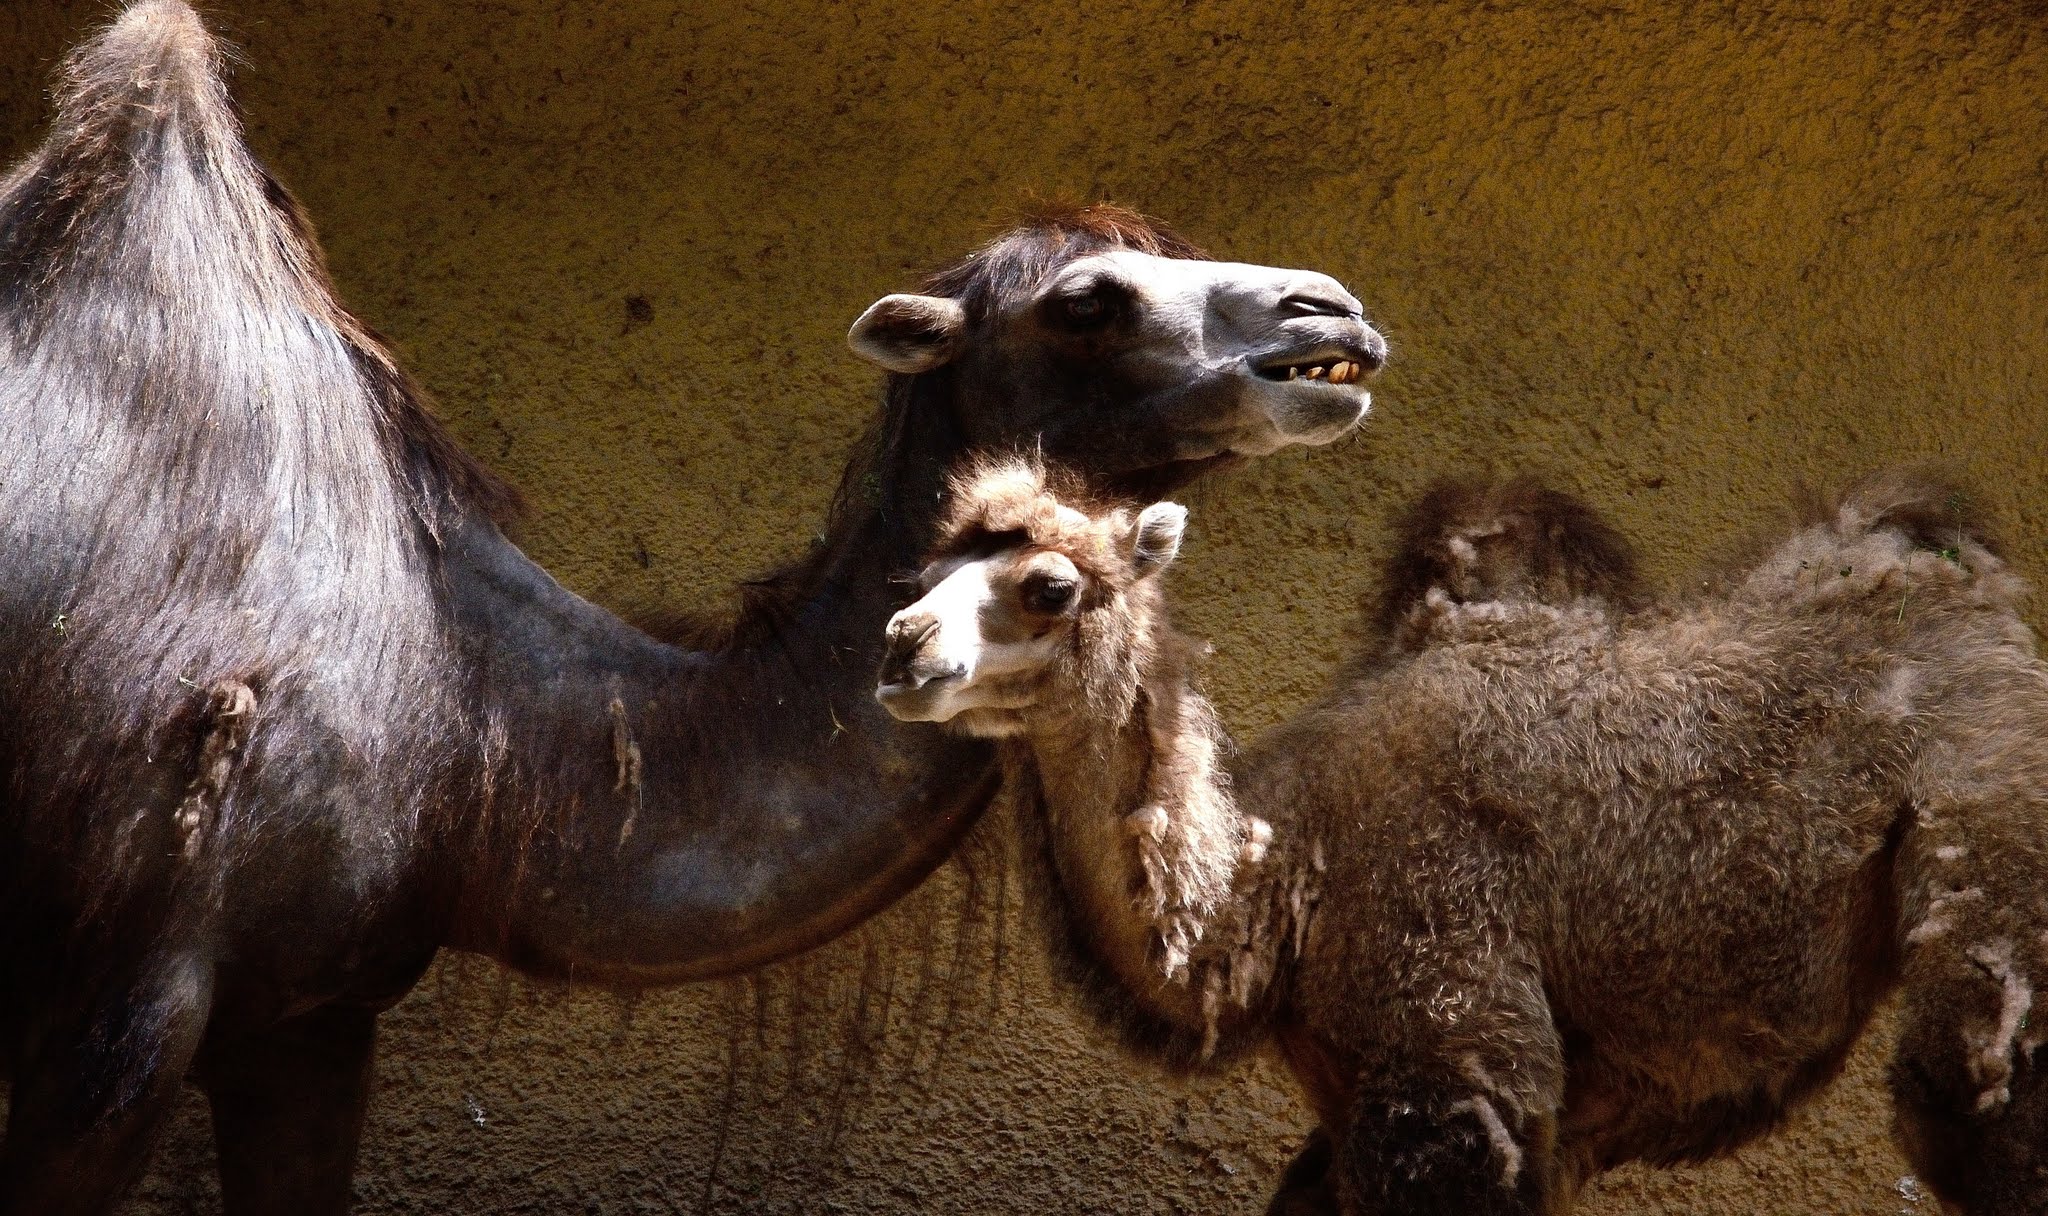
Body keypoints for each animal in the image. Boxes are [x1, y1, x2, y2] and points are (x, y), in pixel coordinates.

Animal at [878, 459, 2048, 1215]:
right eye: (926, 571)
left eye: (1049, 585)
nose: (901, 645)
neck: (1283, 883)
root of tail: (1982, 586)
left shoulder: (1455, 1055)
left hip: (1990, 816)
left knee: (1975, 1073)